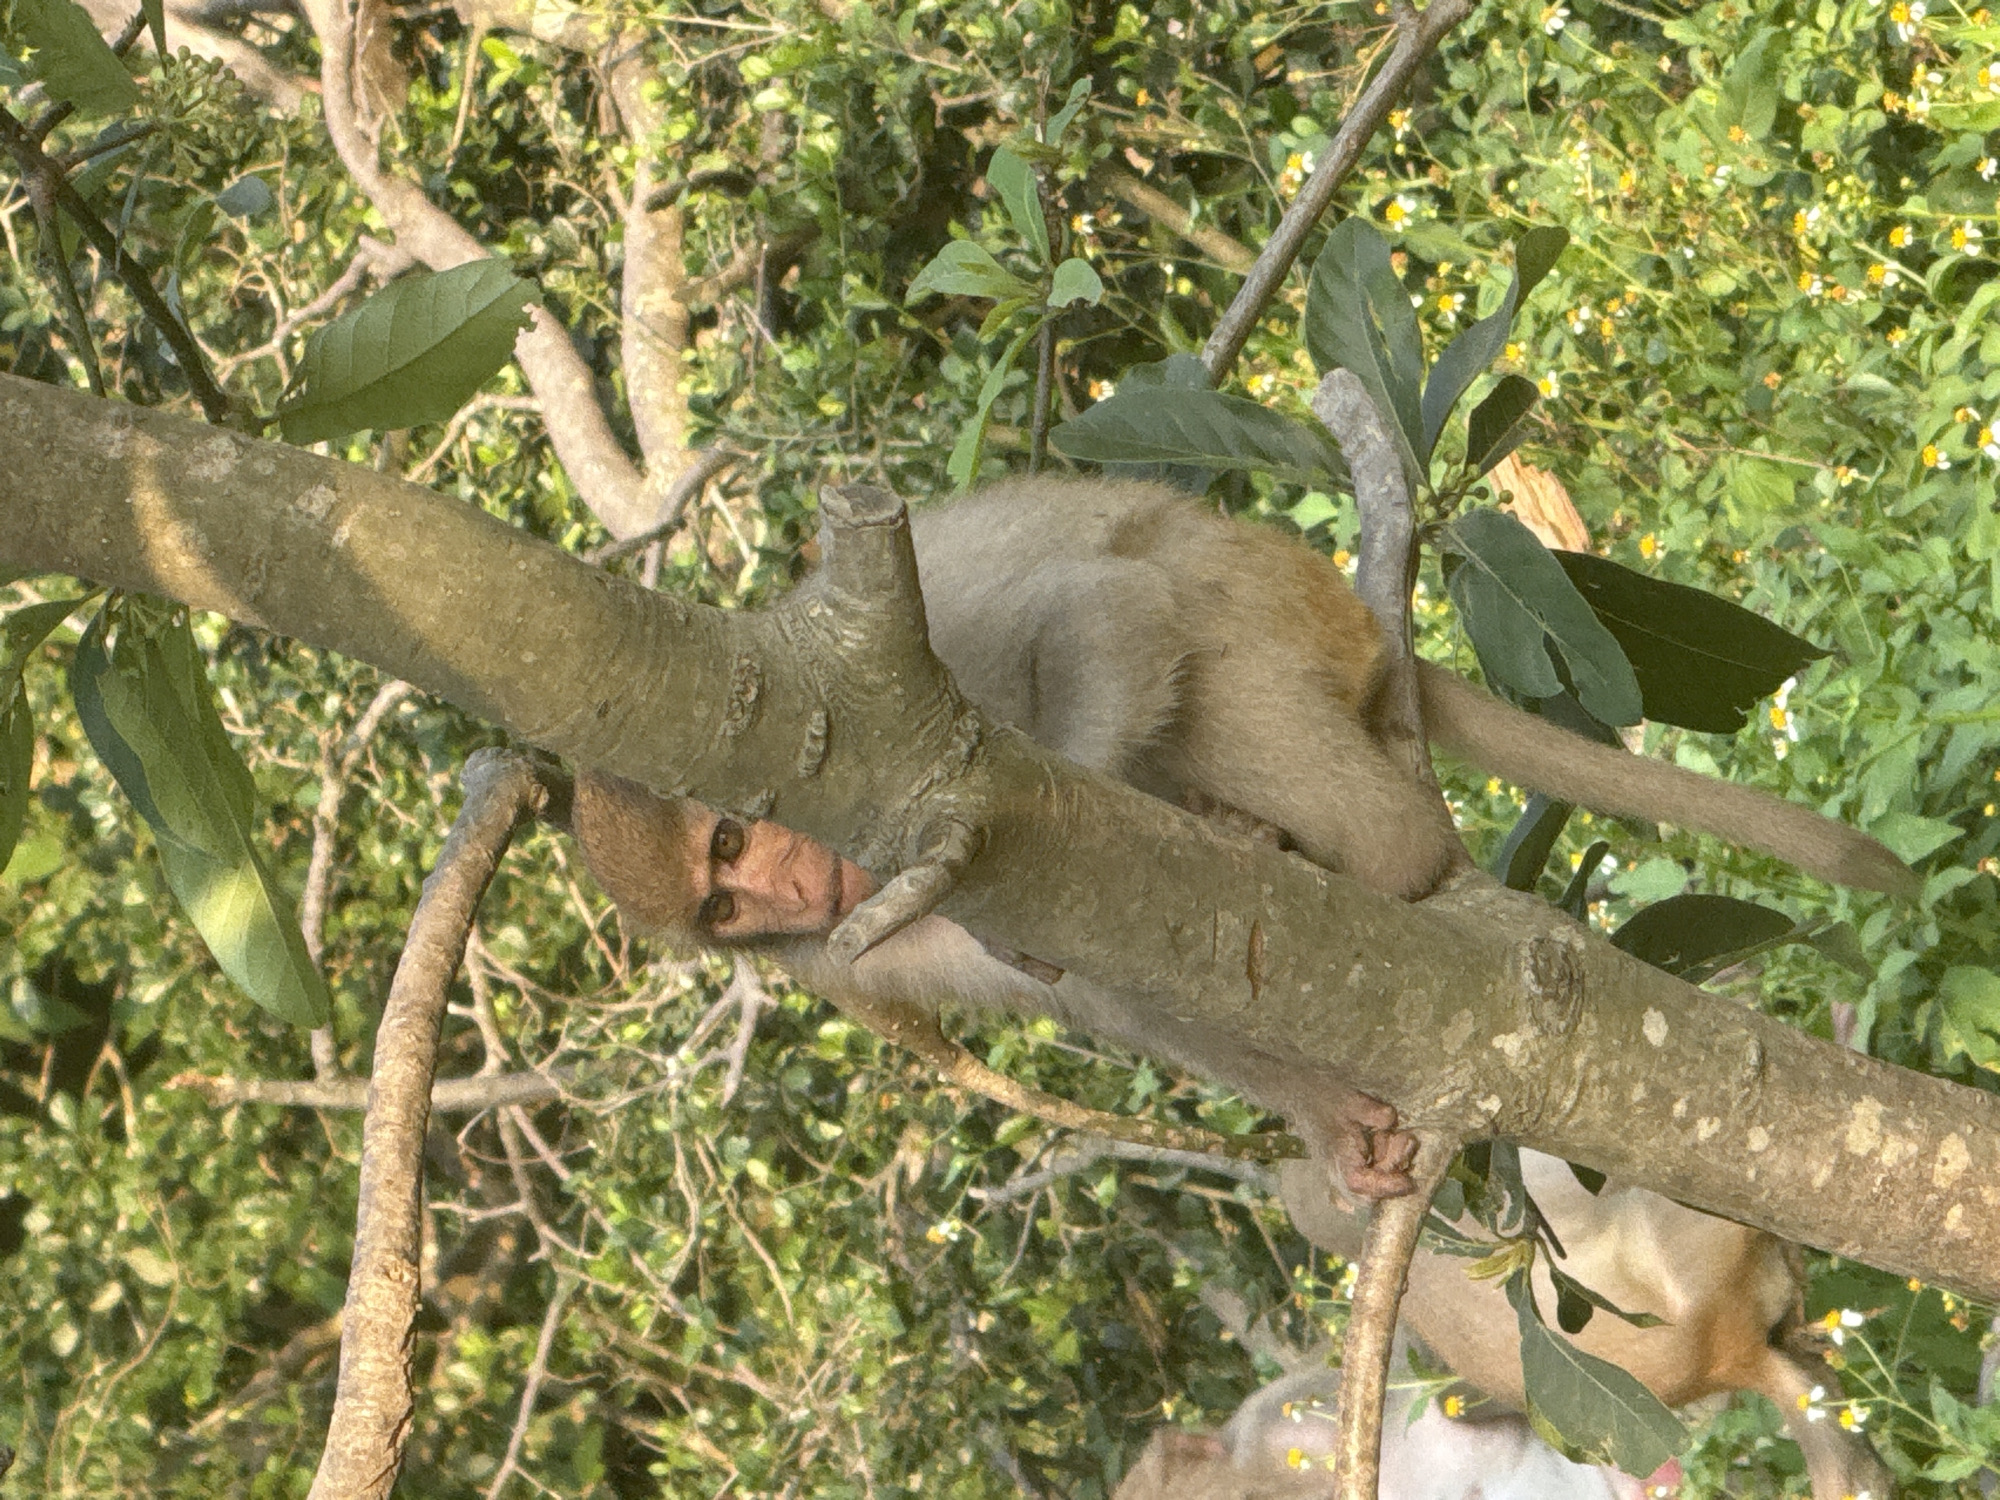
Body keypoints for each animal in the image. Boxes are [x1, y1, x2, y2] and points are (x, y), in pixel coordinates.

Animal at [571, 475, 1914, 1198]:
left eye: (732, 839)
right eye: (723, 901)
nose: (799, 877)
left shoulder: (906, 679)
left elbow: (1098, 615)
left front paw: (1092, 793)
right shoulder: (852, 953)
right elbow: (1107, 989)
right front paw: (1323, 1119)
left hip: (1259, 601)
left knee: (1191, 649)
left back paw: (1369, 849)